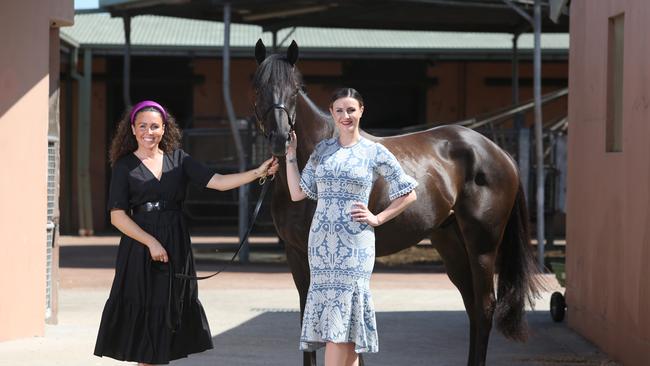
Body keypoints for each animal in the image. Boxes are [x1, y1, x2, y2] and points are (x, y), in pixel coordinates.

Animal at [251, 40, 540, 366]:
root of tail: (499, 154)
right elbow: (307, 322)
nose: (280, 140)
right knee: (472, 308)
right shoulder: (296, 253)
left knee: (485, 306)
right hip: (451, 243)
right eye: (258, 87)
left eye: (296, 88)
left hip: (483, 246)